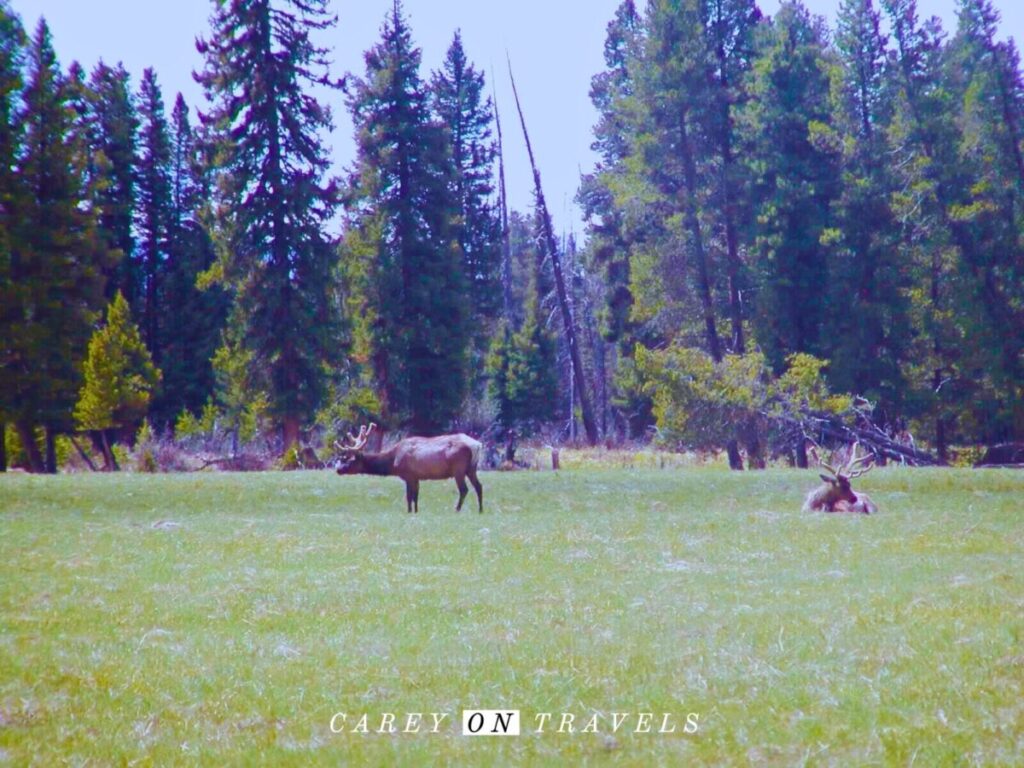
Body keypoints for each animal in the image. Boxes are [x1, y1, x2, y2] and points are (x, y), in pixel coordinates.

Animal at [334, 424, 484, 514]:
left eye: (348, 459)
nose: (338, 470)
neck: (393, 462)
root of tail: (477, 445)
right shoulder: (416, 477)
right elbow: (416, 496)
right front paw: (416, 512)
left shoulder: (408, 475)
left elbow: (409, 496)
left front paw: (409, 511)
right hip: (471, 468)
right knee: (479, 486)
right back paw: (480, 510)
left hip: (459, 469)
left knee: (464, 489)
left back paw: (457, 509)